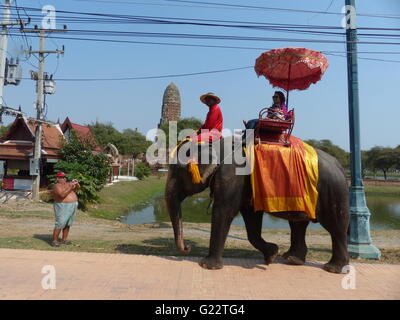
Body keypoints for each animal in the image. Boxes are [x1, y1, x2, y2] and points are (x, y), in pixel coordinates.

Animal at [164, 136, 348, 274]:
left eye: (177, 171)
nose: (187, 247)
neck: (215, 144)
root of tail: (339, 164)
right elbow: (251, 217)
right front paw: (271, 255)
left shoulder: (233, 175)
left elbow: (224, 212)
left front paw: (207, 266)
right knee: (298, 224)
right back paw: (292, 259)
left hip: (333, 191)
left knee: (335, 227)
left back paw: (333, 269)